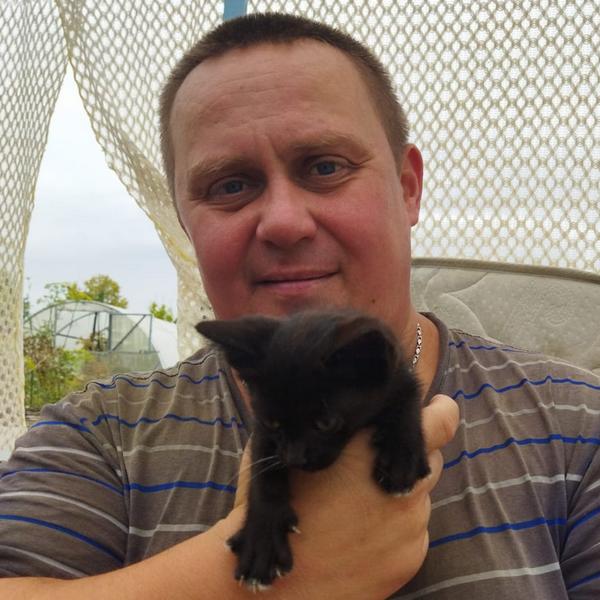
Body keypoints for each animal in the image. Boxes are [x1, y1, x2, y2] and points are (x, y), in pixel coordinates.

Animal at [195, 309, 430, 590]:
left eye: (326, 422)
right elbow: (264, 472)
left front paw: (401, 458)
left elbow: (408, 400)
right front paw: (262, 540)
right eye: (272, 422)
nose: (295, 458)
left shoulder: (399, 378)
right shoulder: (263, 434)